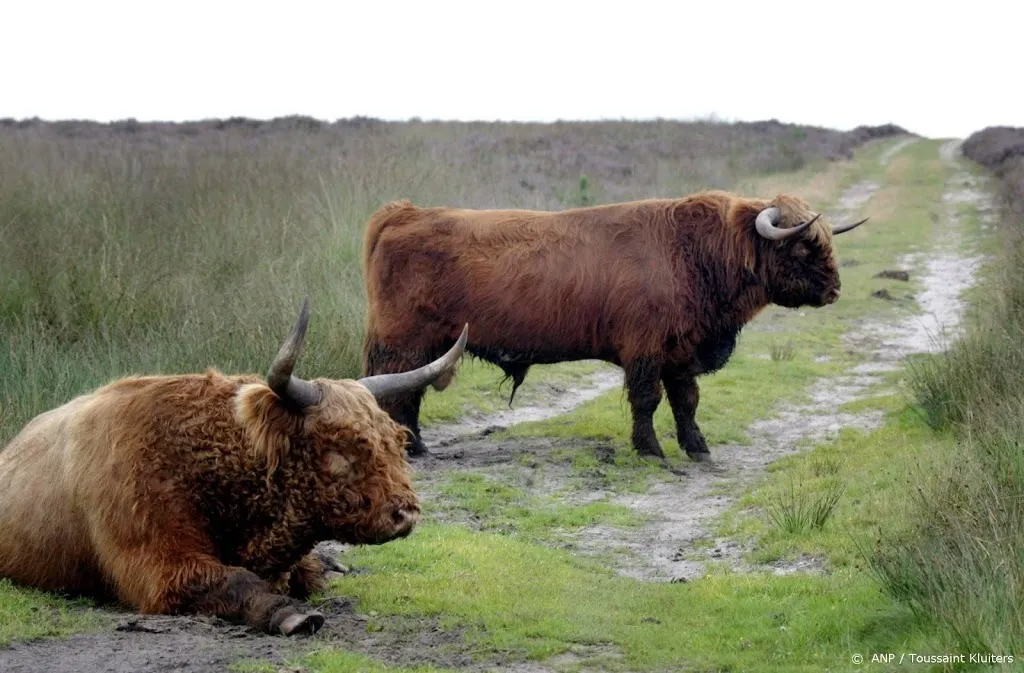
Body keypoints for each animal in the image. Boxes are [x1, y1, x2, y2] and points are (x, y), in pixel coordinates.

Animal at [0, 299, 468, 635]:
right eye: (342, 447)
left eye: (396, 441)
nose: (405, 512)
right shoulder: (159, 567)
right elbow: (233, 581)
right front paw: (291, 615)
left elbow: (305, 573)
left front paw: (321, 568)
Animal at [364, 191, 868, 458]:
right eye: (802, 245)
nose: (834, 290)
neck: (696, 253)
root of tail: (404, 212)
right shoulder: (645, 350)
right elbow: (648, 400)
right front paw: (651, 448)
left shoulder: (681, 352)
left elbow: (687, 402)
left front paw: (696, 446)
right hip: (404, 342)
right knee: (398, 390)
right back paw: (410, 447)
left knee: (410, 391)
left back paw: (417, 446)